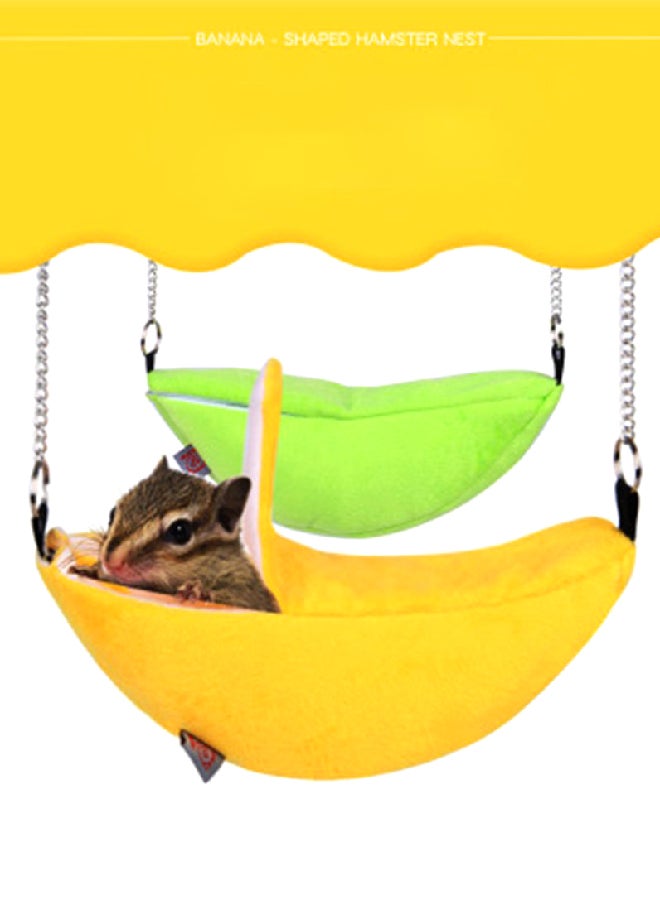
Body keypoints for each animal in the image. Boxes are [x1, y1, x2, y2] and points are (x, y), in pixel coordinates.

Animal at [73, 457, 279, 613]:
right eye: (112, 513)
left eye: (180, 531)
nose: (111, 561)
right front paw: (90, 570)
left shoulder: (245, 590)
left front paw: (197, 589)